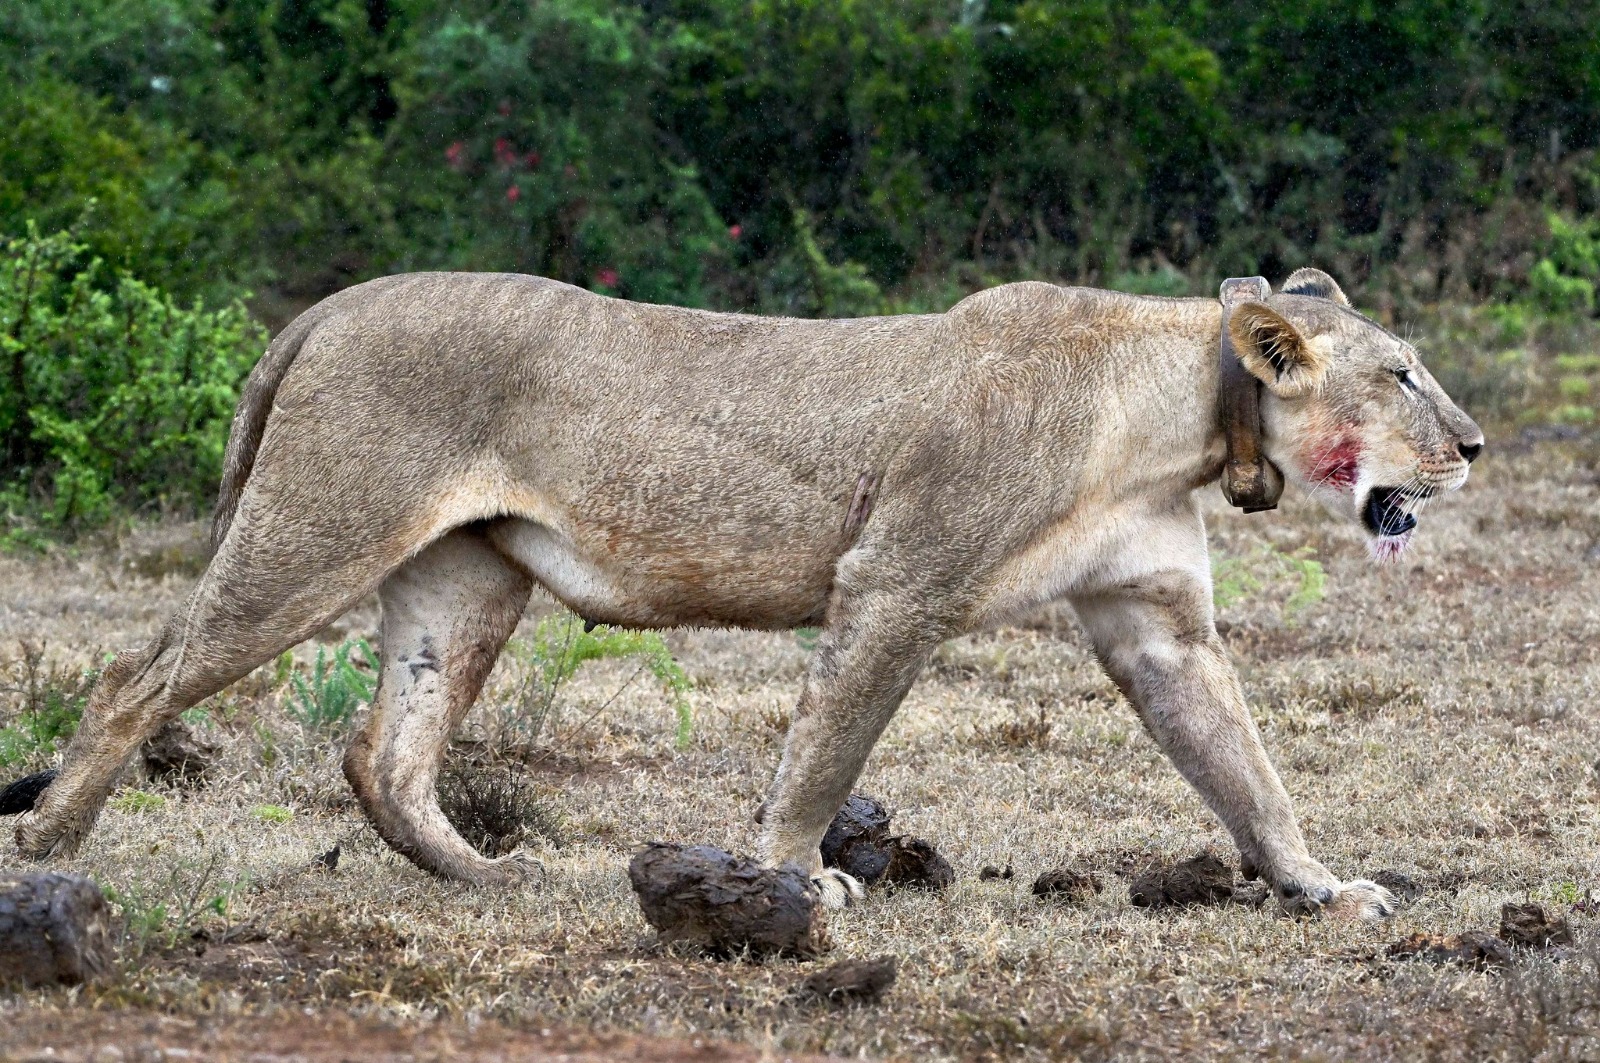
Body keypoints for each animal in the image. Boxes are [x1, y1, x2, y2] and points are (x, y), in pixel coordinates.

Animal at [2, 267, 1480, 919]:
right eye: (1402, 371)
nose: (1472, 444)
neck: (1178, 412)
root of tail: (331, 303)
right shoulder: (896, 579)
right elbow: (825, 751)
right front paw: (785, 881)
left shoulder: (1155, 620)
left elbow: (1245, 769)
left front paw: (1321, 884)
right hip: (318, 532)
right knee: (136, 677)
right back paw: (52, 848)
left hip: (464, 575)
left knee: (385, 752)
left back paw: (485, 873)